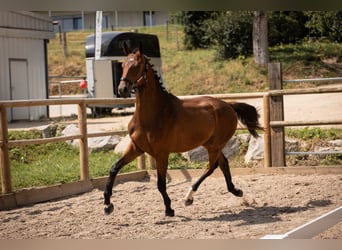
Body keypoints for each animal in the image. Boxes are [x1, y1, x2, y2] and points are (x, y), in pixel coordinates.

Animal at [103, 42, 260, 216]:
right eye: (122, 65)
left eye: (137, 65)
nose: (122, 89)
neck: (152, 115)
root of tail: (229, 106)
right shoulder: (136, 148)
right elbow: (114, 169)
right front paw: (107, 204)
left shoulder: (162, 154)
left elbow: (161, 183)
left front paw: (169, 209)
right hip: (210, 144)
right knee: (223, 163)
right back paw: (236, 191)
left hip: (215, 145)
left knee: (211, 167)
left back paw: (189, 196)